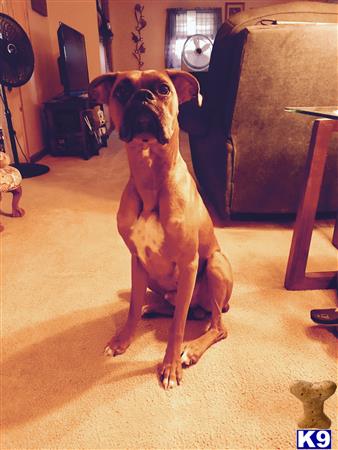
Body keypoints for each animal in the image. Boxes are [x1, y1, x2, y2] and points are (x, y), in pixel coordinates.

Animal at [88, 70, 234, 390]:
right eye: (121, 90)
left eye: (164, 89)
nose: (143, 96)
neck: (151, 178)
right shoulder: (137, 260)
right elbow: (132, 306)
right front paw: (122, 339)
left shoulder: (190, 263)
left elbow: (177, 326)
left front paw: (170, 367)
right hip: (156, 279)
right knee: (175, 305)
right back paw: (150, 307)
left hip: (215, 265)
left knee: (216, 324)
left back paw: (192, 349)